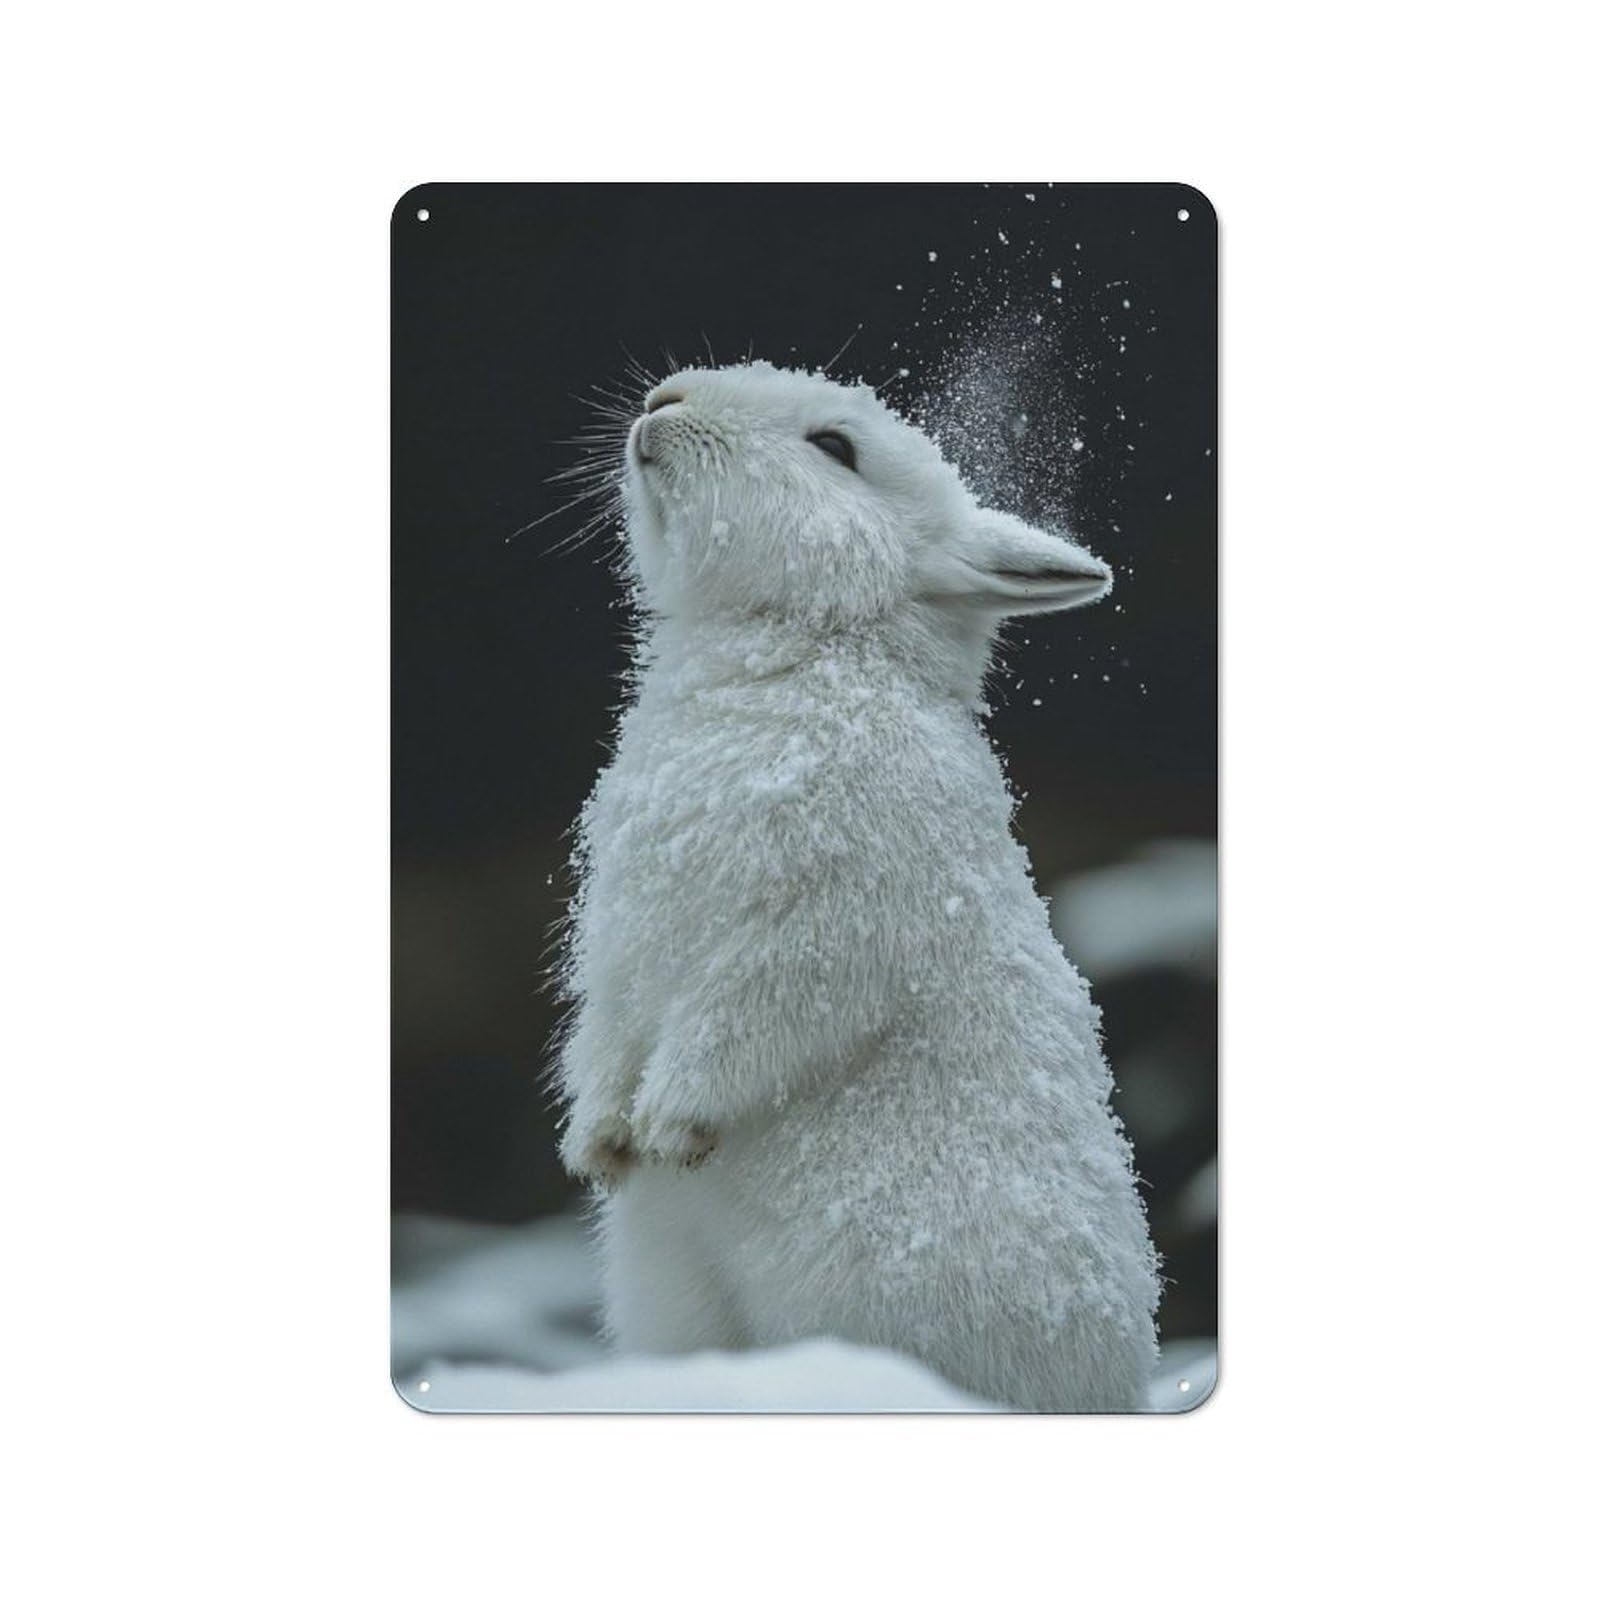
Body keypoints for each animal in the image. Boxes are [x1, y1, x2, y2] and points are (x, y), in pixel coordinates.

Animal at [554, 361, 1160, 1412]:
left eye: (834, 447)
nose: (665, 401)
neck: (802, 649)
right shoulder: (621, 943)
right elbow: (609, 1034)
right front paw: (598, 1148)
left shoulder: (831, 917)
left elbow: (743, 1019)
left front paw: (669, 1128)